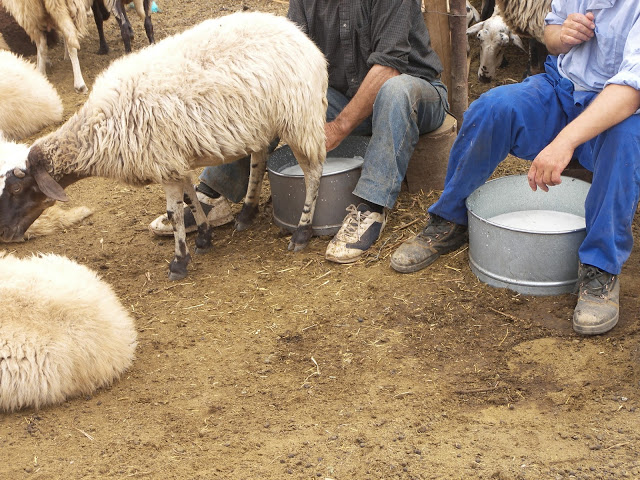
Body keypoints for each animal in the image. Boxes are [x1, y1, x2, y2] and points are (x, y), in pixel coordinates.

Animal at [0, 12, 330, 282]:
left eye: (16, 189)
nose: (3, 233)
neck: (97, 130)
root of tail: (306, 42)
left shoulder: (164, 161)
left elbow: (174, 212)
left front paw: (179, 262)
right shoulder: (174, 159)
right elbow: (189, 198)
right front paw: (204, 237)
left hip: (300, 118)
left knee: (313, 172)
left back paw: (301, 233)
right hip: (261, 123)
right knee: (259, 159)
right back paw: (247, 213)